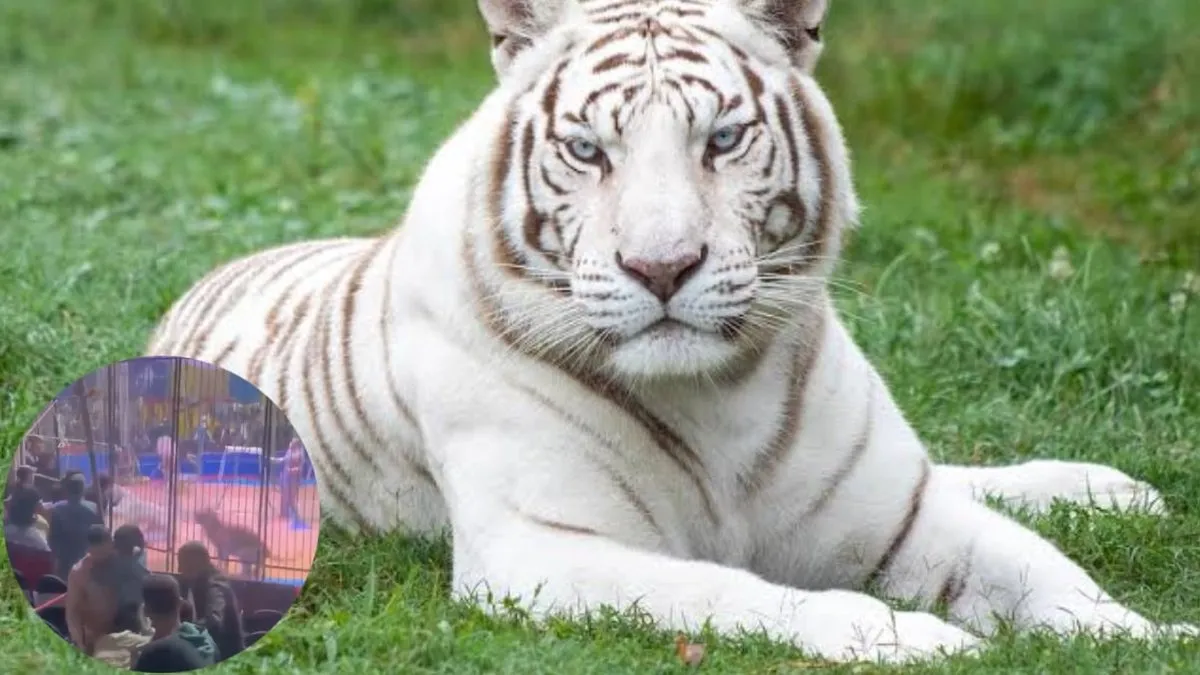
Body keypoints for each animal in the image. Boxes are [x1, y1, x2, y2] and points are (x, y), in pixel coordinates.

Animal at [145, 0, 1195, 663]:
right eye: (586, 150)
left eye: (722, 139)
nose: (663, 267)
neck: (719, 393)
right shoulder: (545, 550)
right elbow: (737, 591)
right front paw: (922, 642)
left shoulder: (903, 513)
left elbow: (1046, 571)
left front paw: (1151, 636)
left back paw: (1114, 489)